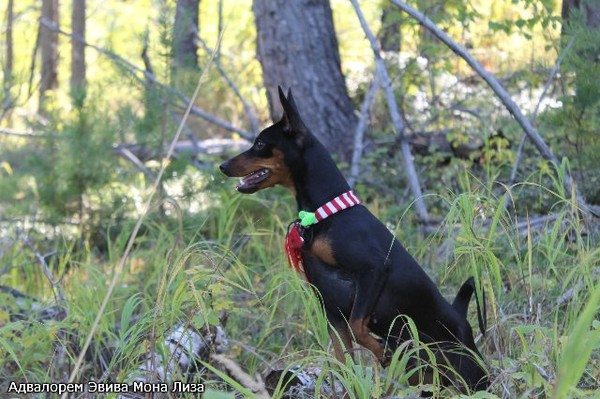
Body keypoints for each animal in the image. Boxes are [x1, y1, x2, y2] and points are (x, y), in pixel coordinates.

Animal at [219, 88, 488, 394]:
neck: (325, 214)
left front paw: (381, 351)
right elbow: (344, 367)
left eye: (260, 143)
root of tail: (461, 318)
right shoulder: (332, 313)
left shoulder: (373, 271)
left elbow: (360, 327)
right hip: (428, 373)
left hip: (470, 372)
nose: (222, 165)